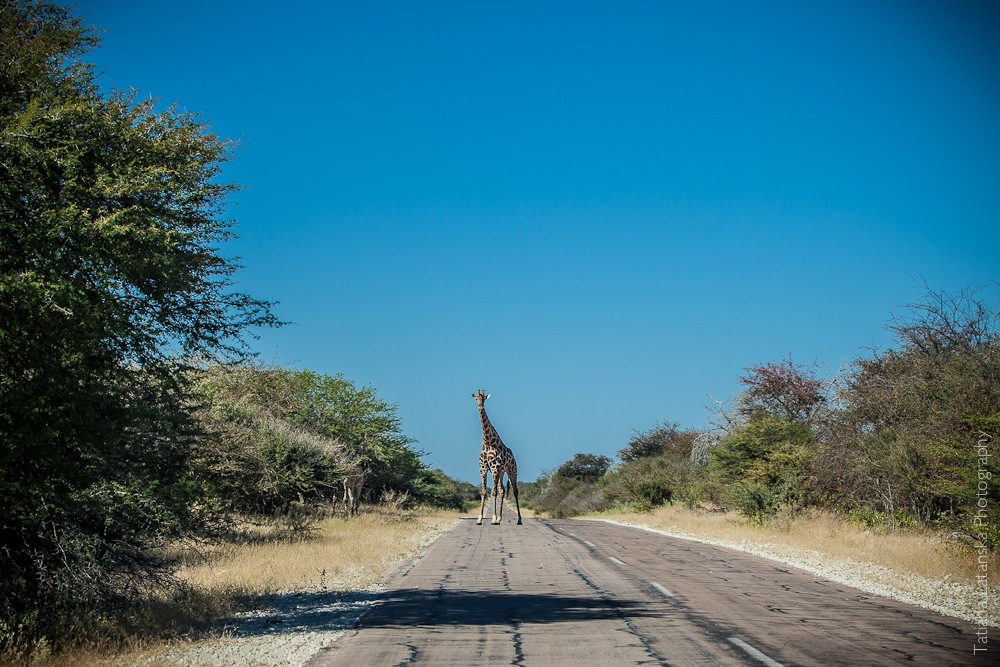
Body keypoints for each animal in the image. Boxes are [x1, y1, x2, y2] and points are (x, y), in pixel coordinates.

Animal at [474, 392, 528, 528]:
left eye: (484, 398)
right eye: (476, 398)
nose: (480, 406)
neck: (487, 442)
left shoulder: (494, 468)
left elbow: (493, 492)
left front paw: (492, 519)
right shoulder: (483, 469)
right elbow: (484, 492)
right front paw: (480, 519)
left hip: (511, 470)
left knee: (515, 491)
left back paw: (519, 520)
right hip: (501, 473)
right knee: (502, 490)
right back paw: (499, 519)